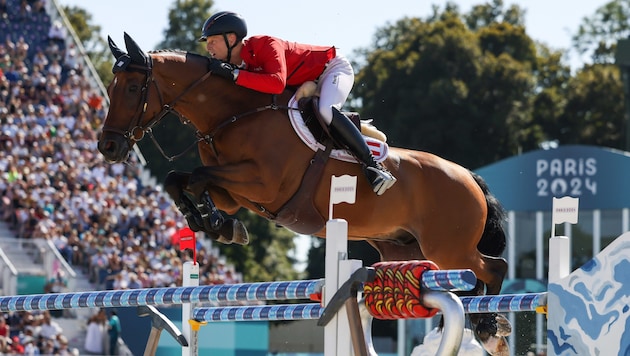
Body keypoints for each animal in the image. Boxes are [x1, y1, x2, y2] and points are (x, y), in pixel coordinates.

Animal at [100, 32, 512, 354]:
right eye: (110, 88)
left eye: (134, 88)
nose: (108, 147)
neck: (232, 113)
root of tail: (468, 176)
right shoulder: (236, 193)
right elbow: (179, 179)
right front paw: (215, 224)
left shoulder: (262, 183)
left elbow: (197, 177)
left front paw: (215, 223)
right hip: (403, 248)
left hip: (447, 247)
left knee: (492, 268)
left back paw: (490, 330)